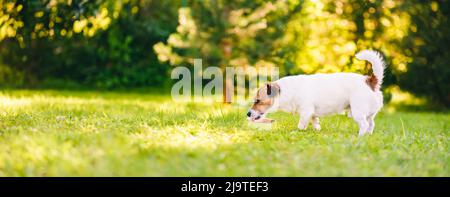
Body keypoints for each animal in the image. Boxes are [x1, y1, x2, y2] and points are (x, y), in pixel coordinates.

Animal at [248, 50, 384, 136]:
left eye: (258, 101)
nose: (248, 114)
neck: (286, 91)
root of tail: (370, 80)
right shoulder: (312, 113)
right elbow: (315, 121)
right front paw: (317, 130)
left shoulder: (306, 111)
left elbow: (301, 125)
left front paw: (297, 132)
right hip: (369, 114)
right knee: (371, 124)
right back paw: (368, 135)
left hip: (358, 112)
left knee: (364, 125)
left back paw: (360, 136)